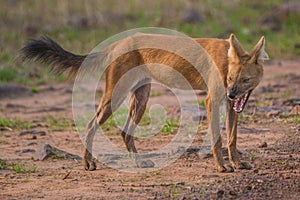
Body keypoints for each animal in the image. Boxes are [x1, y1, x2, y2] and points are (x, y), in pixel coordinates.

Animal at [19, 32, 268, 172]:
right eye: (230, 79)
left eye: (245, 80)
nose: (233, 94)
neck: (225, 60)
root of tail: (116, 43)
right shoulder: (212, 101)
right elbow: (217, 140)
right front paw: (222, 166)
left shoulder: (230, 107)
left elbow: (232, 139)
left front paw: (237, 164)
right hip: (116, 97)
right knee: (91, 124)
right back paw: (88, 164)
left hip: (141, 98)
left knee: (125, 132)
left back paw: (138, 163)